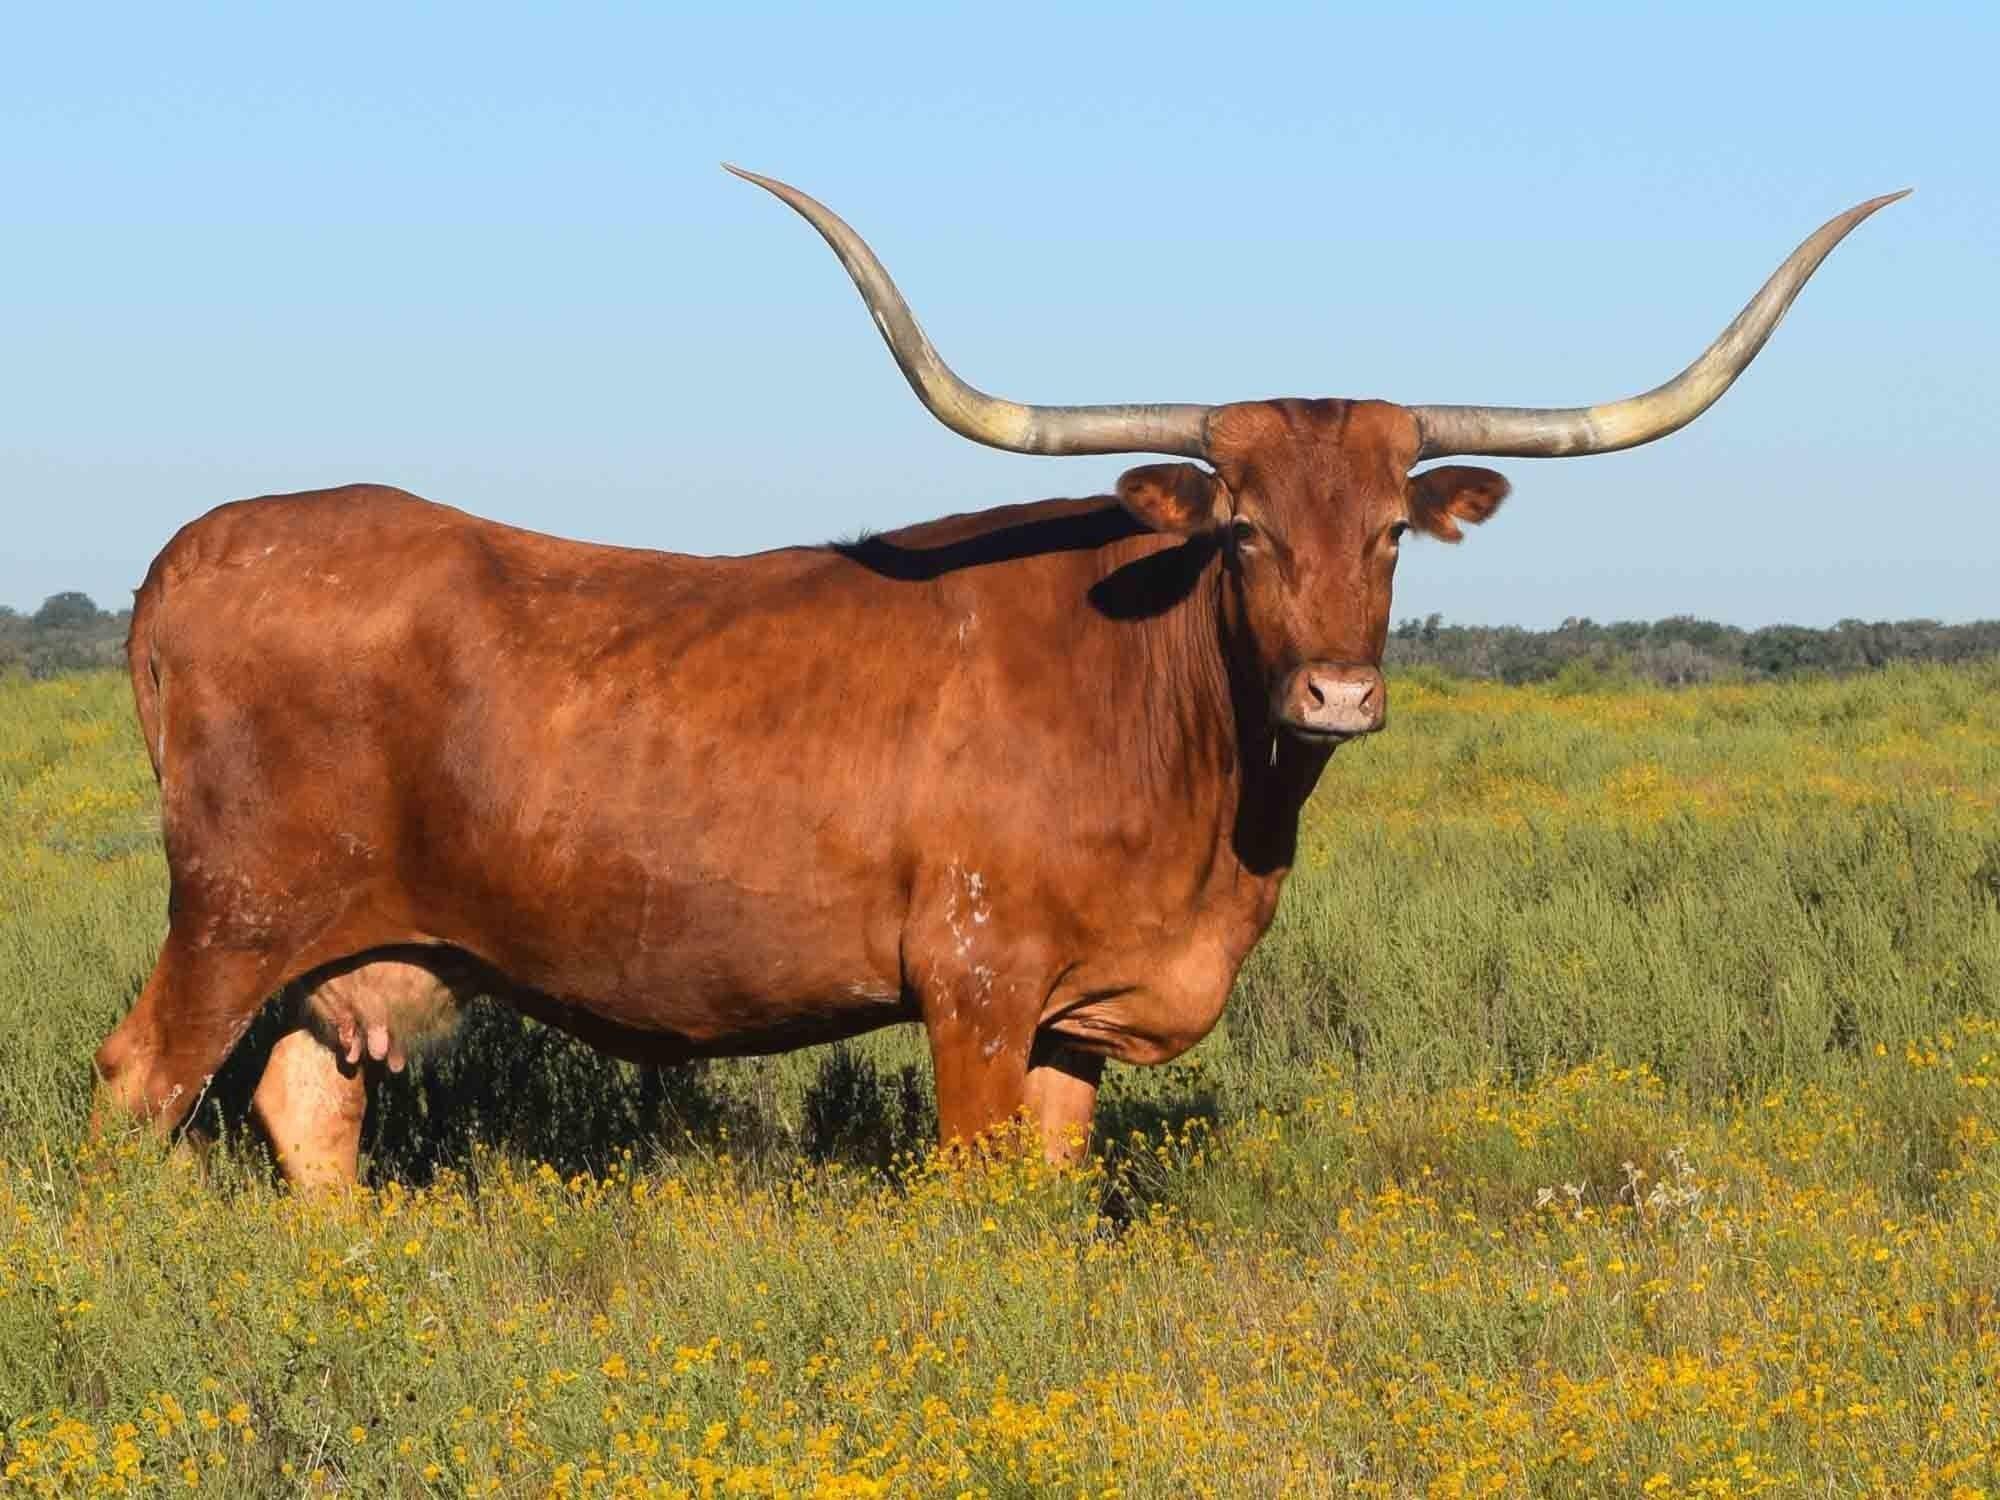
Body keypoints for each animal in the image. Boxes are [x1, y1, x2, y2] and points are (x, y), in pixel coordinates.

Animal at [92, 170, 1905, 1184]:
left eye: (1394, 530)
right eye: (1241, 526)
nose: (1335, 698)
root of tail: (205, 544)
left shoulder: (1071, 1030)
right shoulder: (971, 988)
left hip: (355, 950)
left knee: (306, 1114)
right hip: (234, 917)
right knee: (139, 1086)